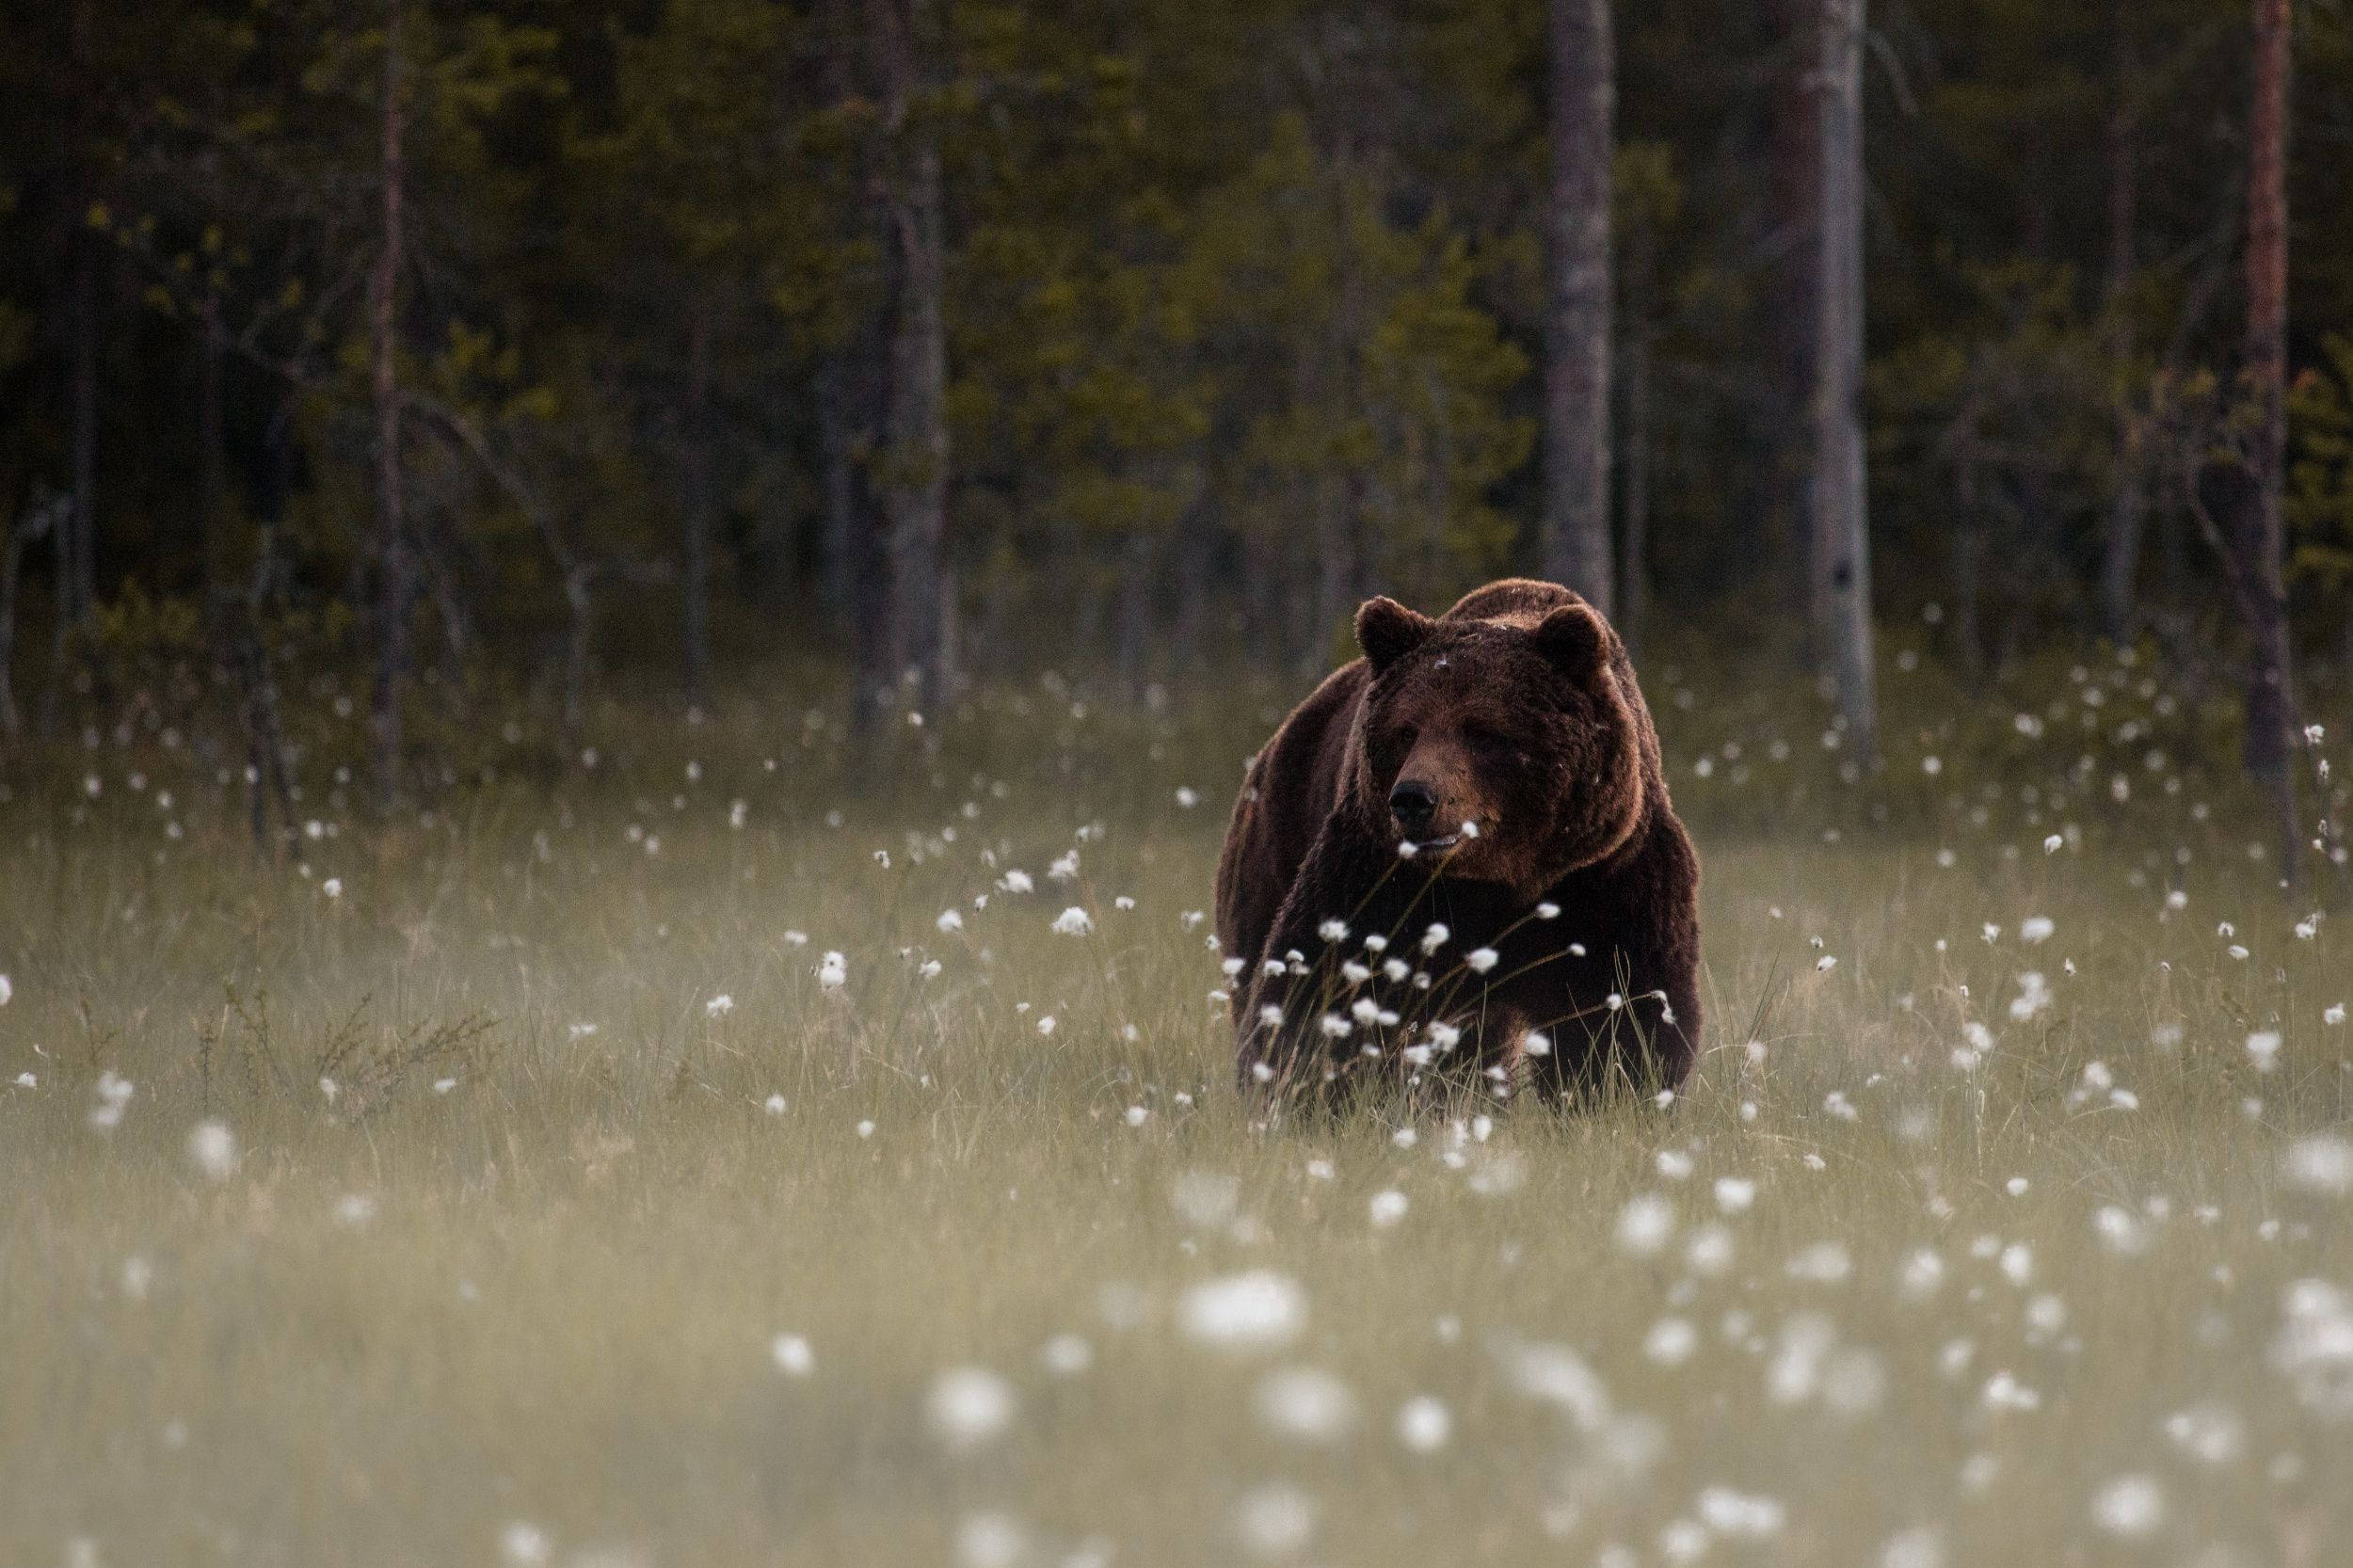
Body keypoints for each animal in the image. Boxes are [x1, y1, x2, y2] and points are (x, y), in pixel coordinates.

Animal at [1214, 577, 1700, 1107]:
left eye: (1483, 732)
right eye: (1407, 730)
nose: (1412, 799)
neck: (1501, 880)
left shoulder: (1606, 876)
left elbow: (1622, 1009)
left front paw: (1615, 1091)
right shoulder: (1379, 876)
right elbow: (1326, 980)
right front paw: (1304, 1088)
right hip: (1274, 842)